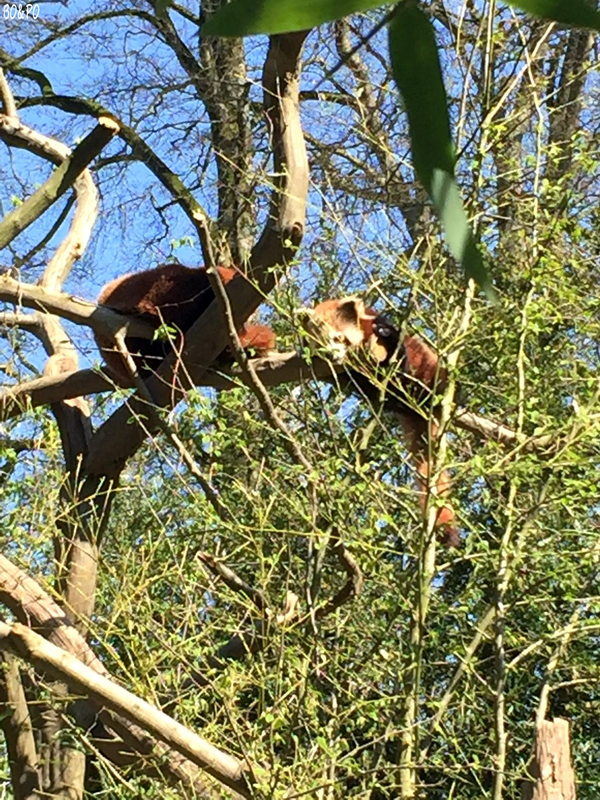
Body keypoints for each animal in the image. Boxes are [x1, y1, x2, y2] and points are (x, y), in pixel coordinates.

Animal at [308, 296, 458, 548]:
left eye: (339, 338)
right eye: (320, 344)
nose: (332, 356)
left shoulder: (379, 326)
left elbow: (393, 341)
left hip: (429, 367)